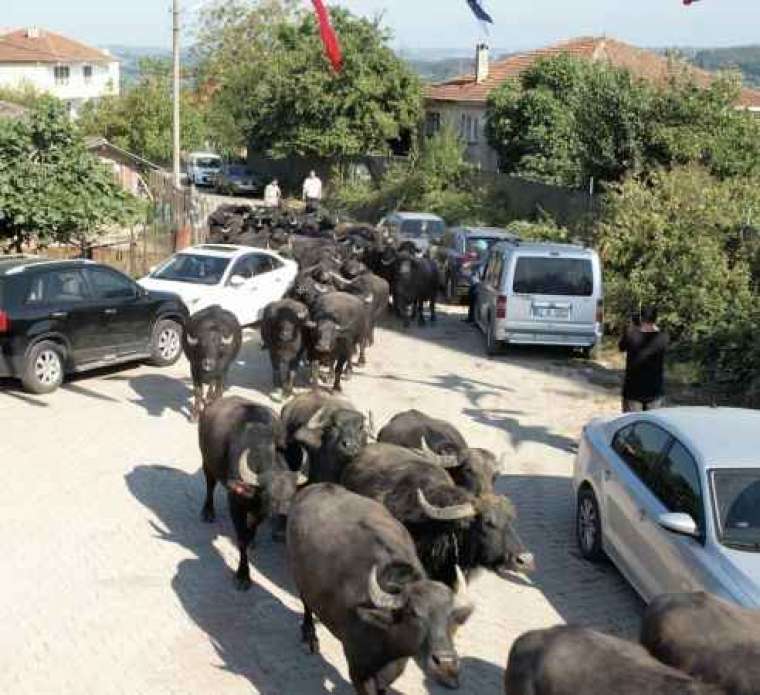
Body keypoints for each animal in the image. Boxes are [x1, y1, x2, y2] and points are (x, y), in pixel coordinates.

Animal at [200, 396, 310, 588]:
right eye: (270, 495)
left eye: (291, 495)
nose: (284, 514)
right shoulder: (235, 504)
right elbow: (242, 538)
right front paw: (243, 575)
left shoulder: (260, 511)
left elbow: (250, 530)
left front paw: (252, 539)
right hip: (207, 461)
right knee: (210, 484)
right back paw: (208, 512)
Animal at [286, 486, 472, 692]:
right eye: (414, 613)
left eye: (452, 615)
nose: (445, 663)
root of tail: (313, 488)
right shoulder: (358, 670)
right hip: (298, 575)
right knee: (306, 603)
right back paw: (309, 637)